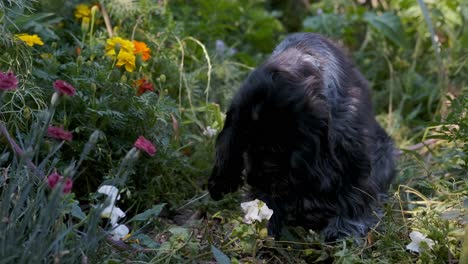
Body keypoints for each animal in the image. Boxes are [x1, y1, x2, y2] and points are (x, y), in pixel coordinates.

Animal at [208, 33, 394, 241]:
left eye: (278, 147)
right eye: (245, 146)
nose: (256, 181)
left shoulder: (349, 152)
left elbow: (353, 193)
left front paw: (343, 228)